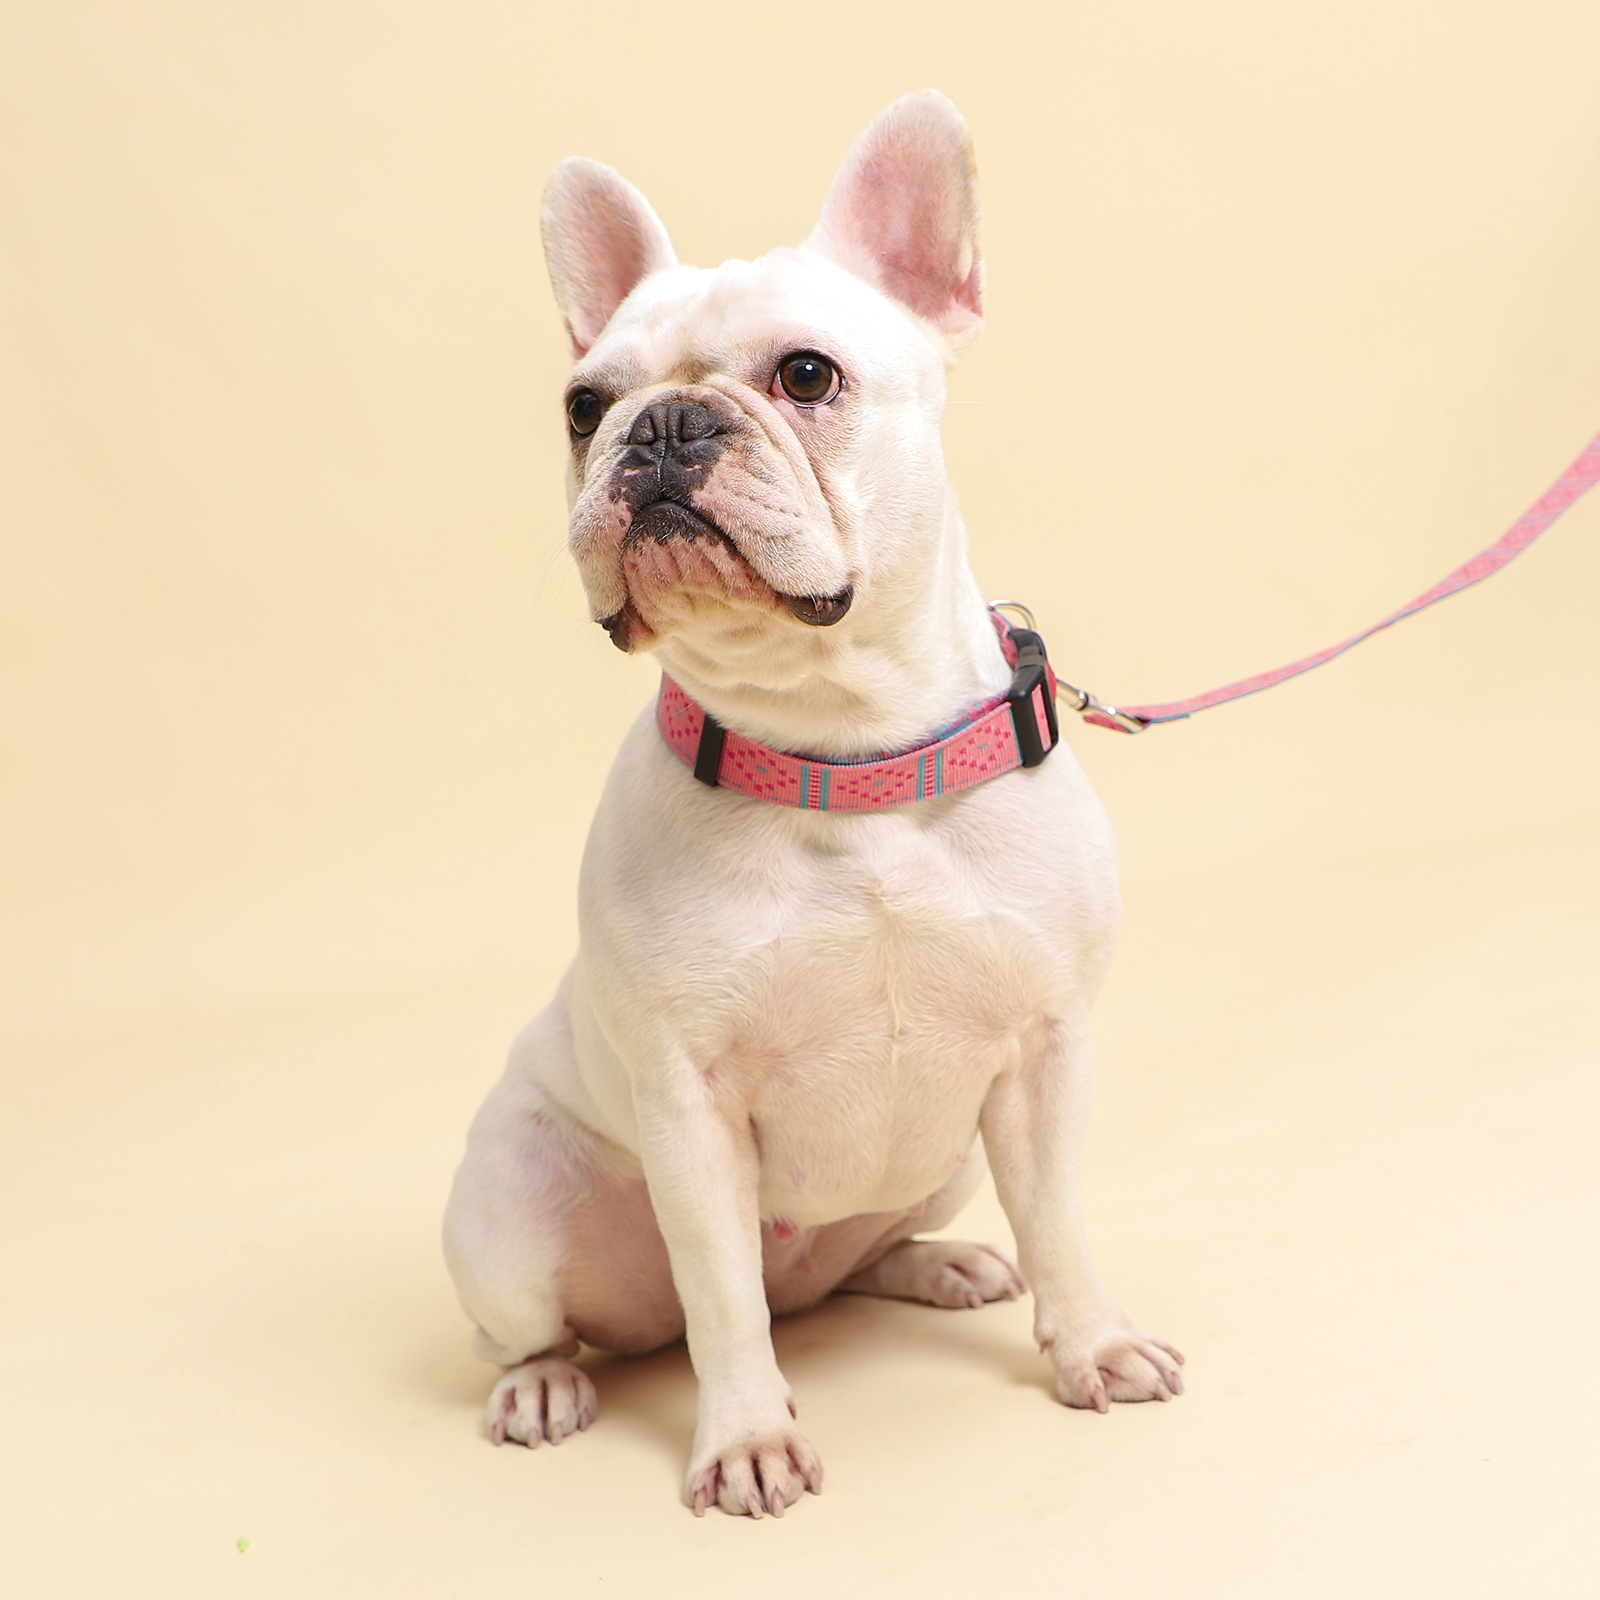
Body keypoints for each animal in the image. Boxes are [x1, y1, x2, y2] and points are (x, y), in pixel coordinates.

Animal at [443, 91, 1183, 1519]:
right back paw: (545, 1384)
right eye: (581, 405)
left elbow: (1059, 1221)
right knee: (595, 1319)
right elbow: (724, 1300)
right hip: (505, 1212)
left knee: (845, 1268)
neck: (845, 753)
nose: (662, 428)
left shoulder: (1043, 1055)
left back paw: (934, 1265)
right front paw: (745, 1438)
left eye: (803, 377)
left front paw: (1093, 1344)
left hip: (946, 1156)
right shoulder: (689, 1105)